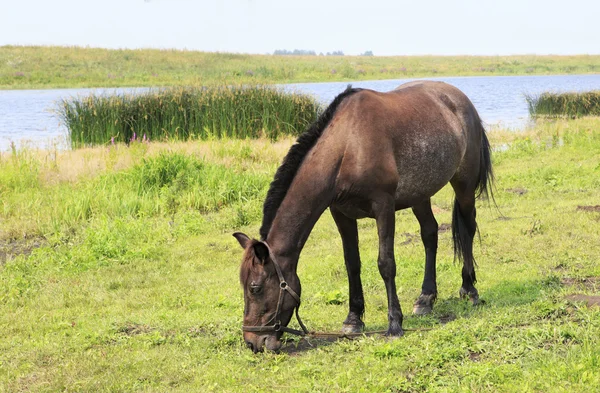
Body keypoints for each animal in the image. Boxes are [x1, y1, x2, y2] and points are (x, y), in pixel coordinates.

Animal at [233, 80, 492, 352]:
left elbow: (386, 264)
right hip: (420, 194)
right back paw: (425, 298)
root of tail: (460, 99)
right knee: (430, 234)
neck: (348, 146)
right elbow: (352, 264)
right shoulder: (341, 214)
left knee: (468, 229)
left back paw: (469, 289)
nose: (252, 342)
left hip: (464, 185)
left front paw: (394, 324)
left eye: (255, 288)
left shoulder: (384, 207)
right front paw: (353, 319)